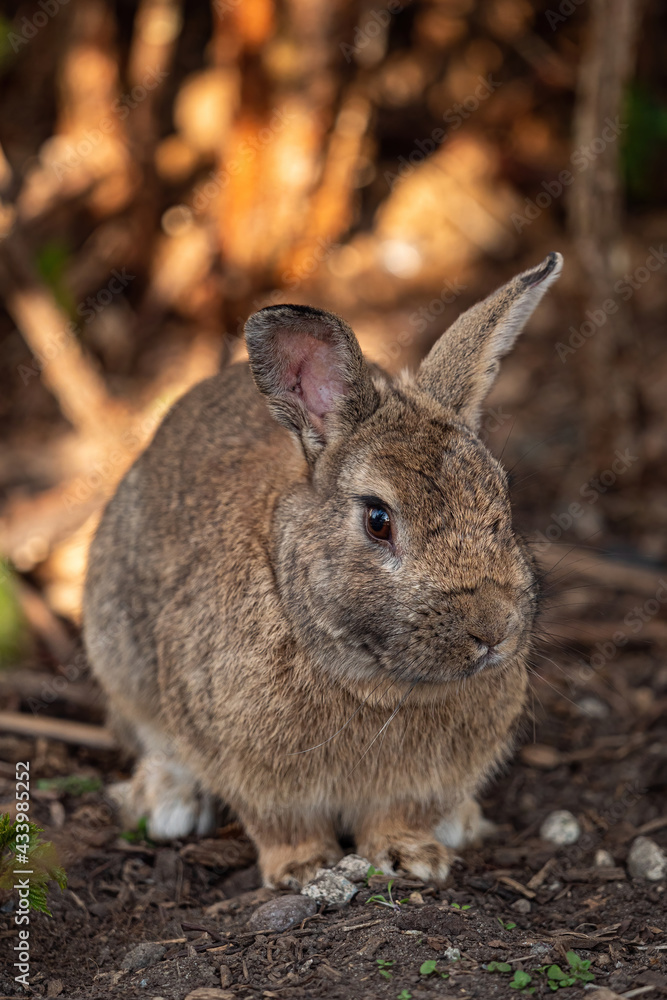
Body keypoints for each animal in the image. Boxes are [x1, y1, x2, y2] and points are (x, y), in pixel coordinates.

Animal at [83, 251, 562, 888]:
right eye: (379, 520)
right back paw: (169, 802)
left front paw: (412, 856)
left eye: (500, 499)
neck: (377, 685)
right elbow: (282, 824)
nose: (493, 630)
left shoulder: (420, 782)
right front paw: (304, 868)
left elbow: (397, 816)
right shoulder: (253, 769)